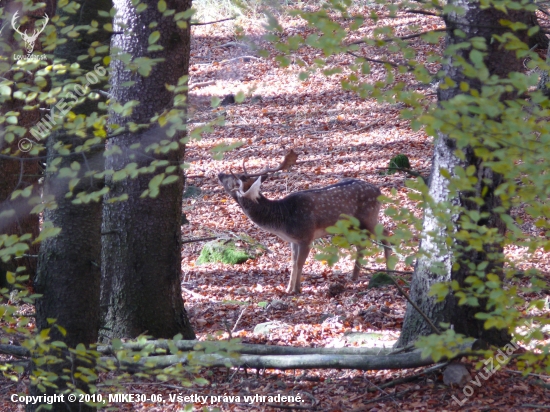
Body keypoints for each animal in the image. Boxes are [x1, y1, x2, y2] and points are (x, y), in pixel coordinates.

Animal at [218, 150, 390, 292]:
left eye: (234, 180)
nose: (220, 173)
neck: (282, 218)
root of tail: (379, 191)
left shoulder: (307, 236)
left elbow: (301, 263)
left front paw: (297, 290)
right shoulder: (293, 240)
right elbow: (293, 263)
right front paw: (288, 289)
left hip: (369, 217)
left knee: (386, 234)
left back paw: (388, 270)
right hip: (354, 225)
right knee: (362, 243)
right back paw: (354, 277)